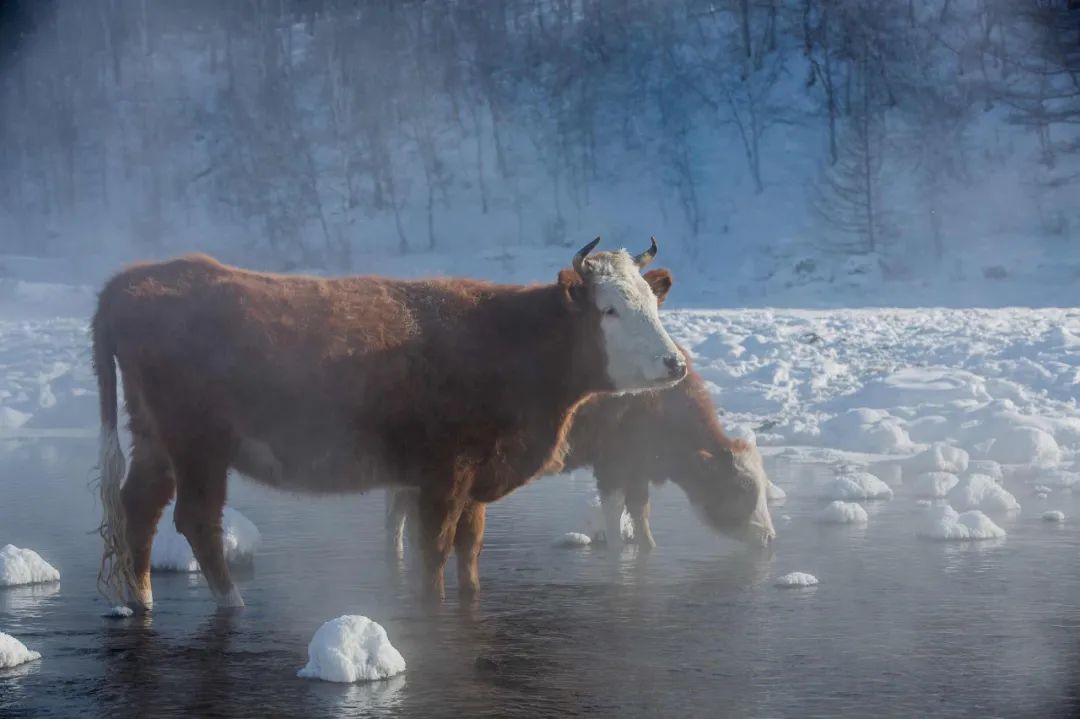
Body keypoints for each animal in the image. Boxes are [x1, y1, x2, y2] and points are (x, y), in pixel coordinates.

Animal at [92, 237, 682, 608]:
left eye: (652, 301)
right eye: (609, 309)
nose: (675, 362)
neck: (506, 341)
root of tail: (131, 281)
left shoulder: (475, 481)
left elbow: (470, 551)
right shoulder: (443, 477)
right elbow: (434, 552)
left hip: (153, 438)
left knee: (139, 508)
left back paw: (142, 601)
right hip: (198, 445)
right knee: (196, 520)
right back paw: (232, 604)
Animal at [388, 351, 777, 552]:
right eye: (742, 488)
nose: (771, 536)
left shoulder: (638, 467)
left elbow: (640, 511)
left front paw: (648, 547)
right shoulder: (613, 464)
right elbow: (616, 510)